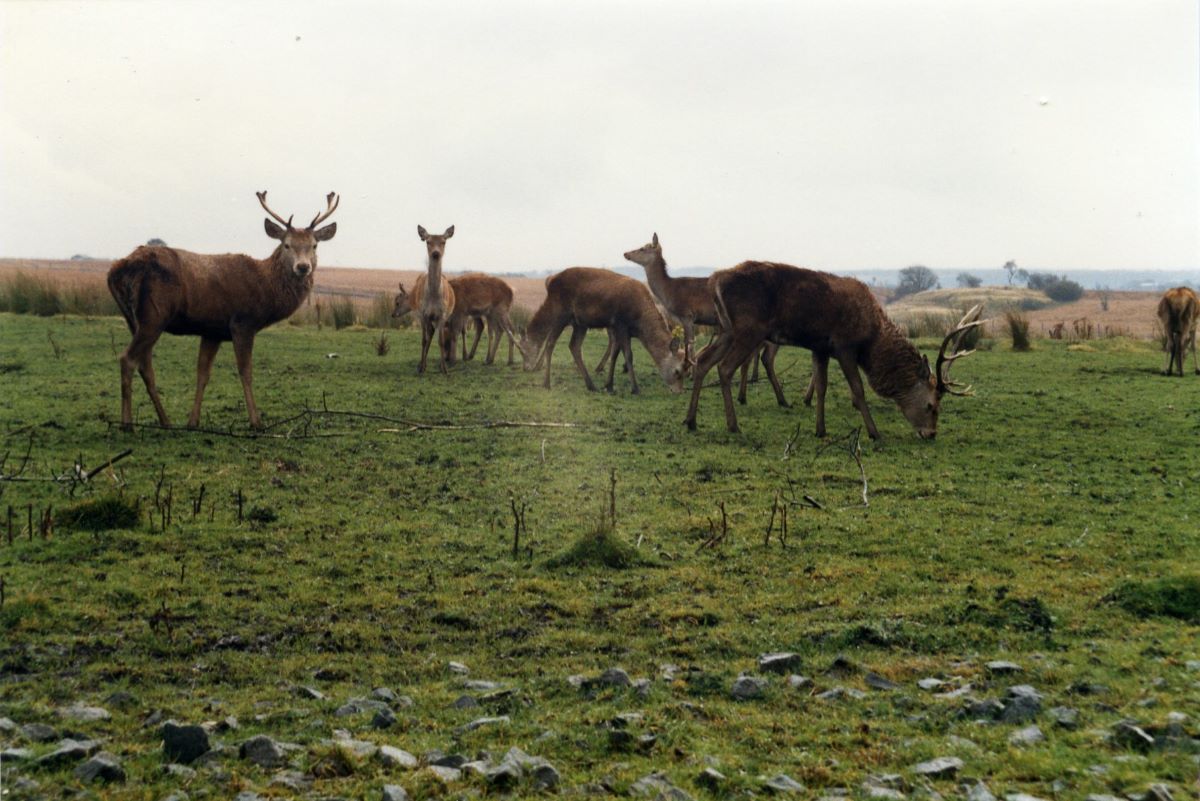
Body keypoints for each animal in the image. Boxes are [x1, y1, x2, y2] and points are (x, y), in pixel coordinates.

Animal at [106, 190, 338, 429]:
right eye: (287, 245)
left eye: (314, 245)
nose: (303, 267)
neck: (265, 288)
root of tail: (115, 271)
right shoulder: (242, 322)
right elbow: (246, 372)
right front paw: (256, 422)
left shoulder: (213, 331)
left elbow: (203, 374)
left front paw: (193, 422)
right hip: (154, 314)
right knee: (127, 359)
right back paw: (127, 424)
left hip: (134, 319)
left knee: (145, 365)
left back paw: (166, 421)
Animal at [410, 225, 451, 376]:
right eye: (428, 241)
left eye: (443, 242)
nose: (436, 253)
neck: (433, 295)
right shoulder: (423, 313)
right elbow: (423, 340)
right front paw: (421, 368)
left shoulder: (442, 314)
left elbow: (441, 341)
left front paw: (444, 369)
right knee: (428, 336)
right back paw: (421, 364)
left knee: (432, 334)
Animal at [518, 268, 686, 393]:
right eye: (677, 371)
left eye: (687, 370)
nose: (678, 391)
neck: (639, 322)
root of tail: (551, 280)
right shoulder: (620, 324)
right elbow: (628, 355)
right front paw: (635, 388)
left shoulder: (619, 329)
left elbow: (615, 354)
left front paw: (609, 386)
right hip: (562, 313)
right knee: (551, 342)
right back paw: (547, 383)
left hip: (580, 323)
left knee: (574, 346)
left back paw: (591, 385)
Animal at [686, 261, 984, 438]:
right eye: (931, 405)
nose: (930, 433)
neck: (871, 338)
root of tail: (715, 280)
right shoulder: (845, 346)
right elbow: (858, 390)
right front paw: (874, 432)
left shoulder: (821, 348)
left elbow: (821, 387)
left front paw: (820, 429)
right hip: (748, 329)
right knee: (724, 368)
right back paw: (733, 425)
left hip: (726, 329)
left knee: (702, 360)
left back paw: (690, 421)